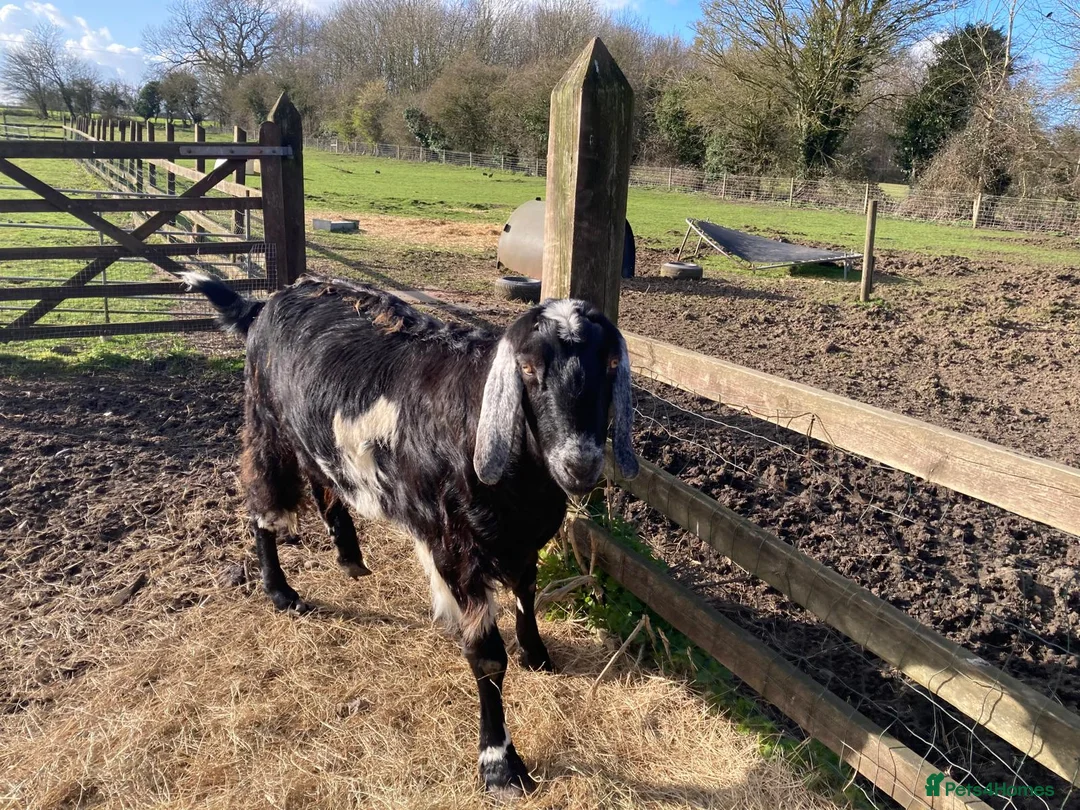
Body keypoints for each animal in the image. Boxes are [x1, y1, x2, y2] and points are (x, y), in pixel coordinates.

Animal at [182, 272, 638, 797]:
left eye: (610, 363)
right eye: (526, 366)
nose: (580, 464)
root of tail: (267, 300)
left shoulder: (523, 539)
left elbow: (527, 590)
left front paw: (537, 655)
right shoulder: (456, 548)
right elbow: (487, 657)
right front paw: (500, 765)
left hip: (312, 430)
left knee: (322, 477)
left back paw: (348, 555)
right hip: (264, 420)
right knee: (264, 502)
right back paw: (280, 591)